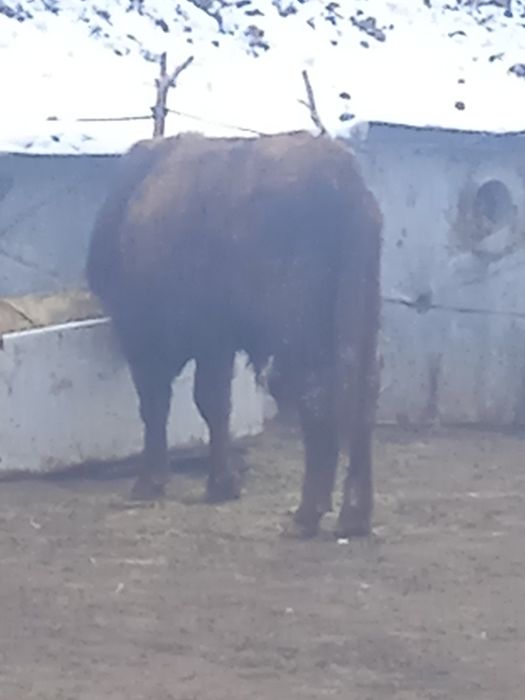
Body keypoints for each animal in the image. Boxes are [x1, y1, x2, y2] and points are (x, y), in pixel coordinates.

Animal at [86, 130, 383, 539]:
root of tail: (342, 176)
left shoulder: (148, 337)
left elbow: (161, 405)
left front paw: (154, 480)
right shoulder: (216, 341)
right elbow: (215, 404)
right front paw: (221, 482)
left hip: (299, 335)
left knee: (319, 396)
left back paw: (307, 514)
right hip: (361, 320)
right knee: (362, 396)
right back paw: (355, 515)